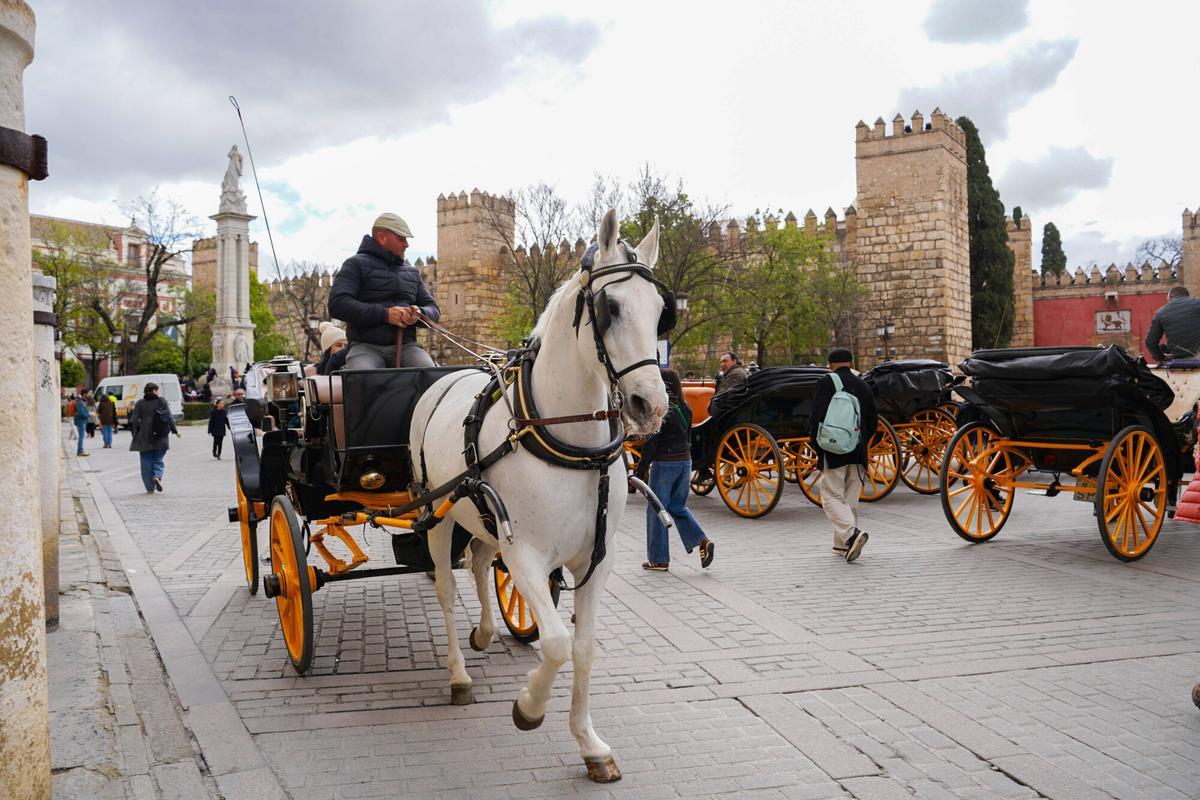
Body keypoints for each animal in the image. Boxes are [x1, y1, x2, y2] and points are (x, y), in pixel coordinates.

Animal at [409, 209, 669, 782]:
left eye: (663, 312)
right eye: (610, 307)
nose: (651, 405)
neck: (566, 437)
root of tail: (444, 378)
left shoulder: (598, 558)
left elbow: (584, 647)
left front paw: (589, 743)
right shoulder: (526, 554)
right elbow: (553, 643)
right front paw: (529, 707)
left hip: (482, 514)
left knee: (479, 561)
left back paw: (485, 631)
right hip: (437, 513)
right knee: (445, 587)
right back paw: (458, 675)